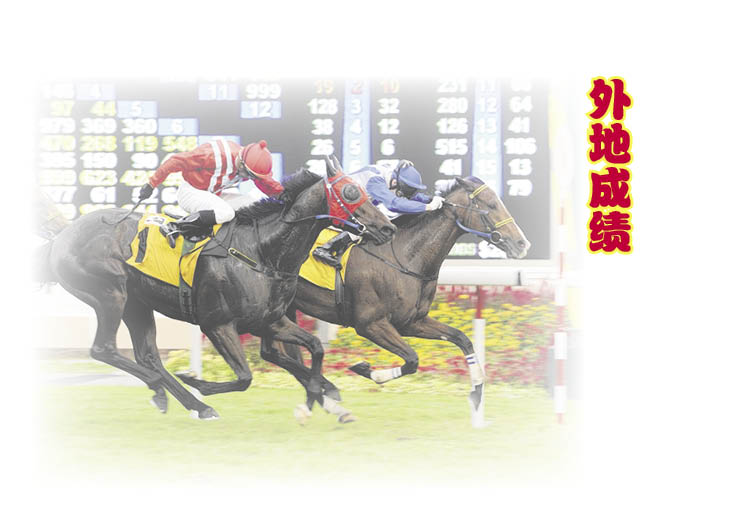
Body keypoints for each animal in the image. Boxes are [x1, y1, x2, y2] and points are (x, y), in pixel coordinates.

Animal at [37, 156, 397, 420]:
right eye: (351, 192)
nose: (387, 228)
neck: (262, 251)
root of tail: (61, 237)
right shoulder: (217, 323)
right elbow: (245, 377)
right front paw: (198, 381)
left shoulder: (269, 320)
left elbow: (316, 347)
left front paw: (315, 398)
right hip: (109, 295)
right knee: (105, 350)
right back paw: (171, 392)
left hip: (137, 304)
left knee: (149, 356)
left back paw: (185, 401)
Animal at [266, 176, 531, 412]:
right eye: (491, 205)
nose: (522, 244)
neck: (405, 256)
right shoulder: (370, 324)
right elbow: (412, 359)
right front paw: (365, 369)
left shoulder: (412, 322)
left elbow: (461, 338)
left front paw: (476, 391)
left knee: (282, 354)